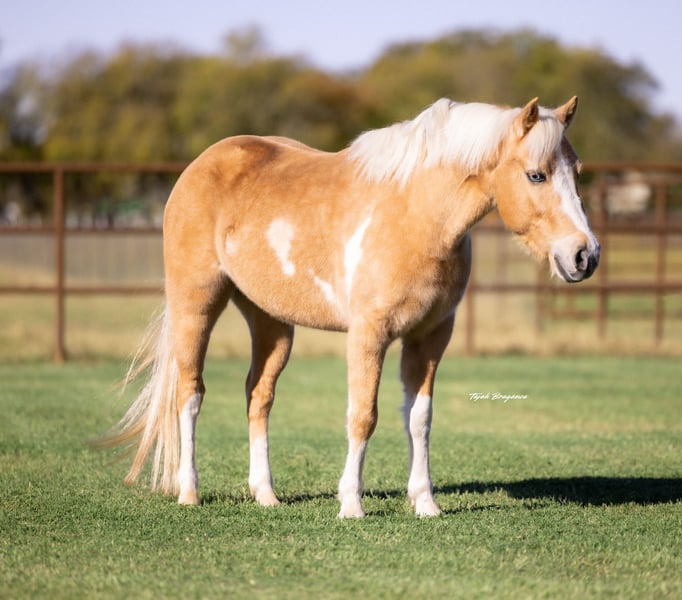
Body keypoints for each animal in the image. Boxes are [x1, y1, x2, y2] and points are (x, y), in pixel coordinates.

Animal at [100, 96, 600, 518]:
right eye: (536, 175)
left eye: (575, 171)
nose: (585, 255)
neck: (416, 215)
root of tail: (201, 164)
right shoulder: (369, 334)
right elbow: (363, 416)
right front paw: (351, 505)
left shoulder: (430, 336)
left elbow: (419, 419)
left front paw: (425, 503)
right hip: (196, 305)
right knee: (190, 394)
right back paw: (189, 492)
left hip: (271, 322)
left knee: (258, 397)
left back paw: (266, 495)